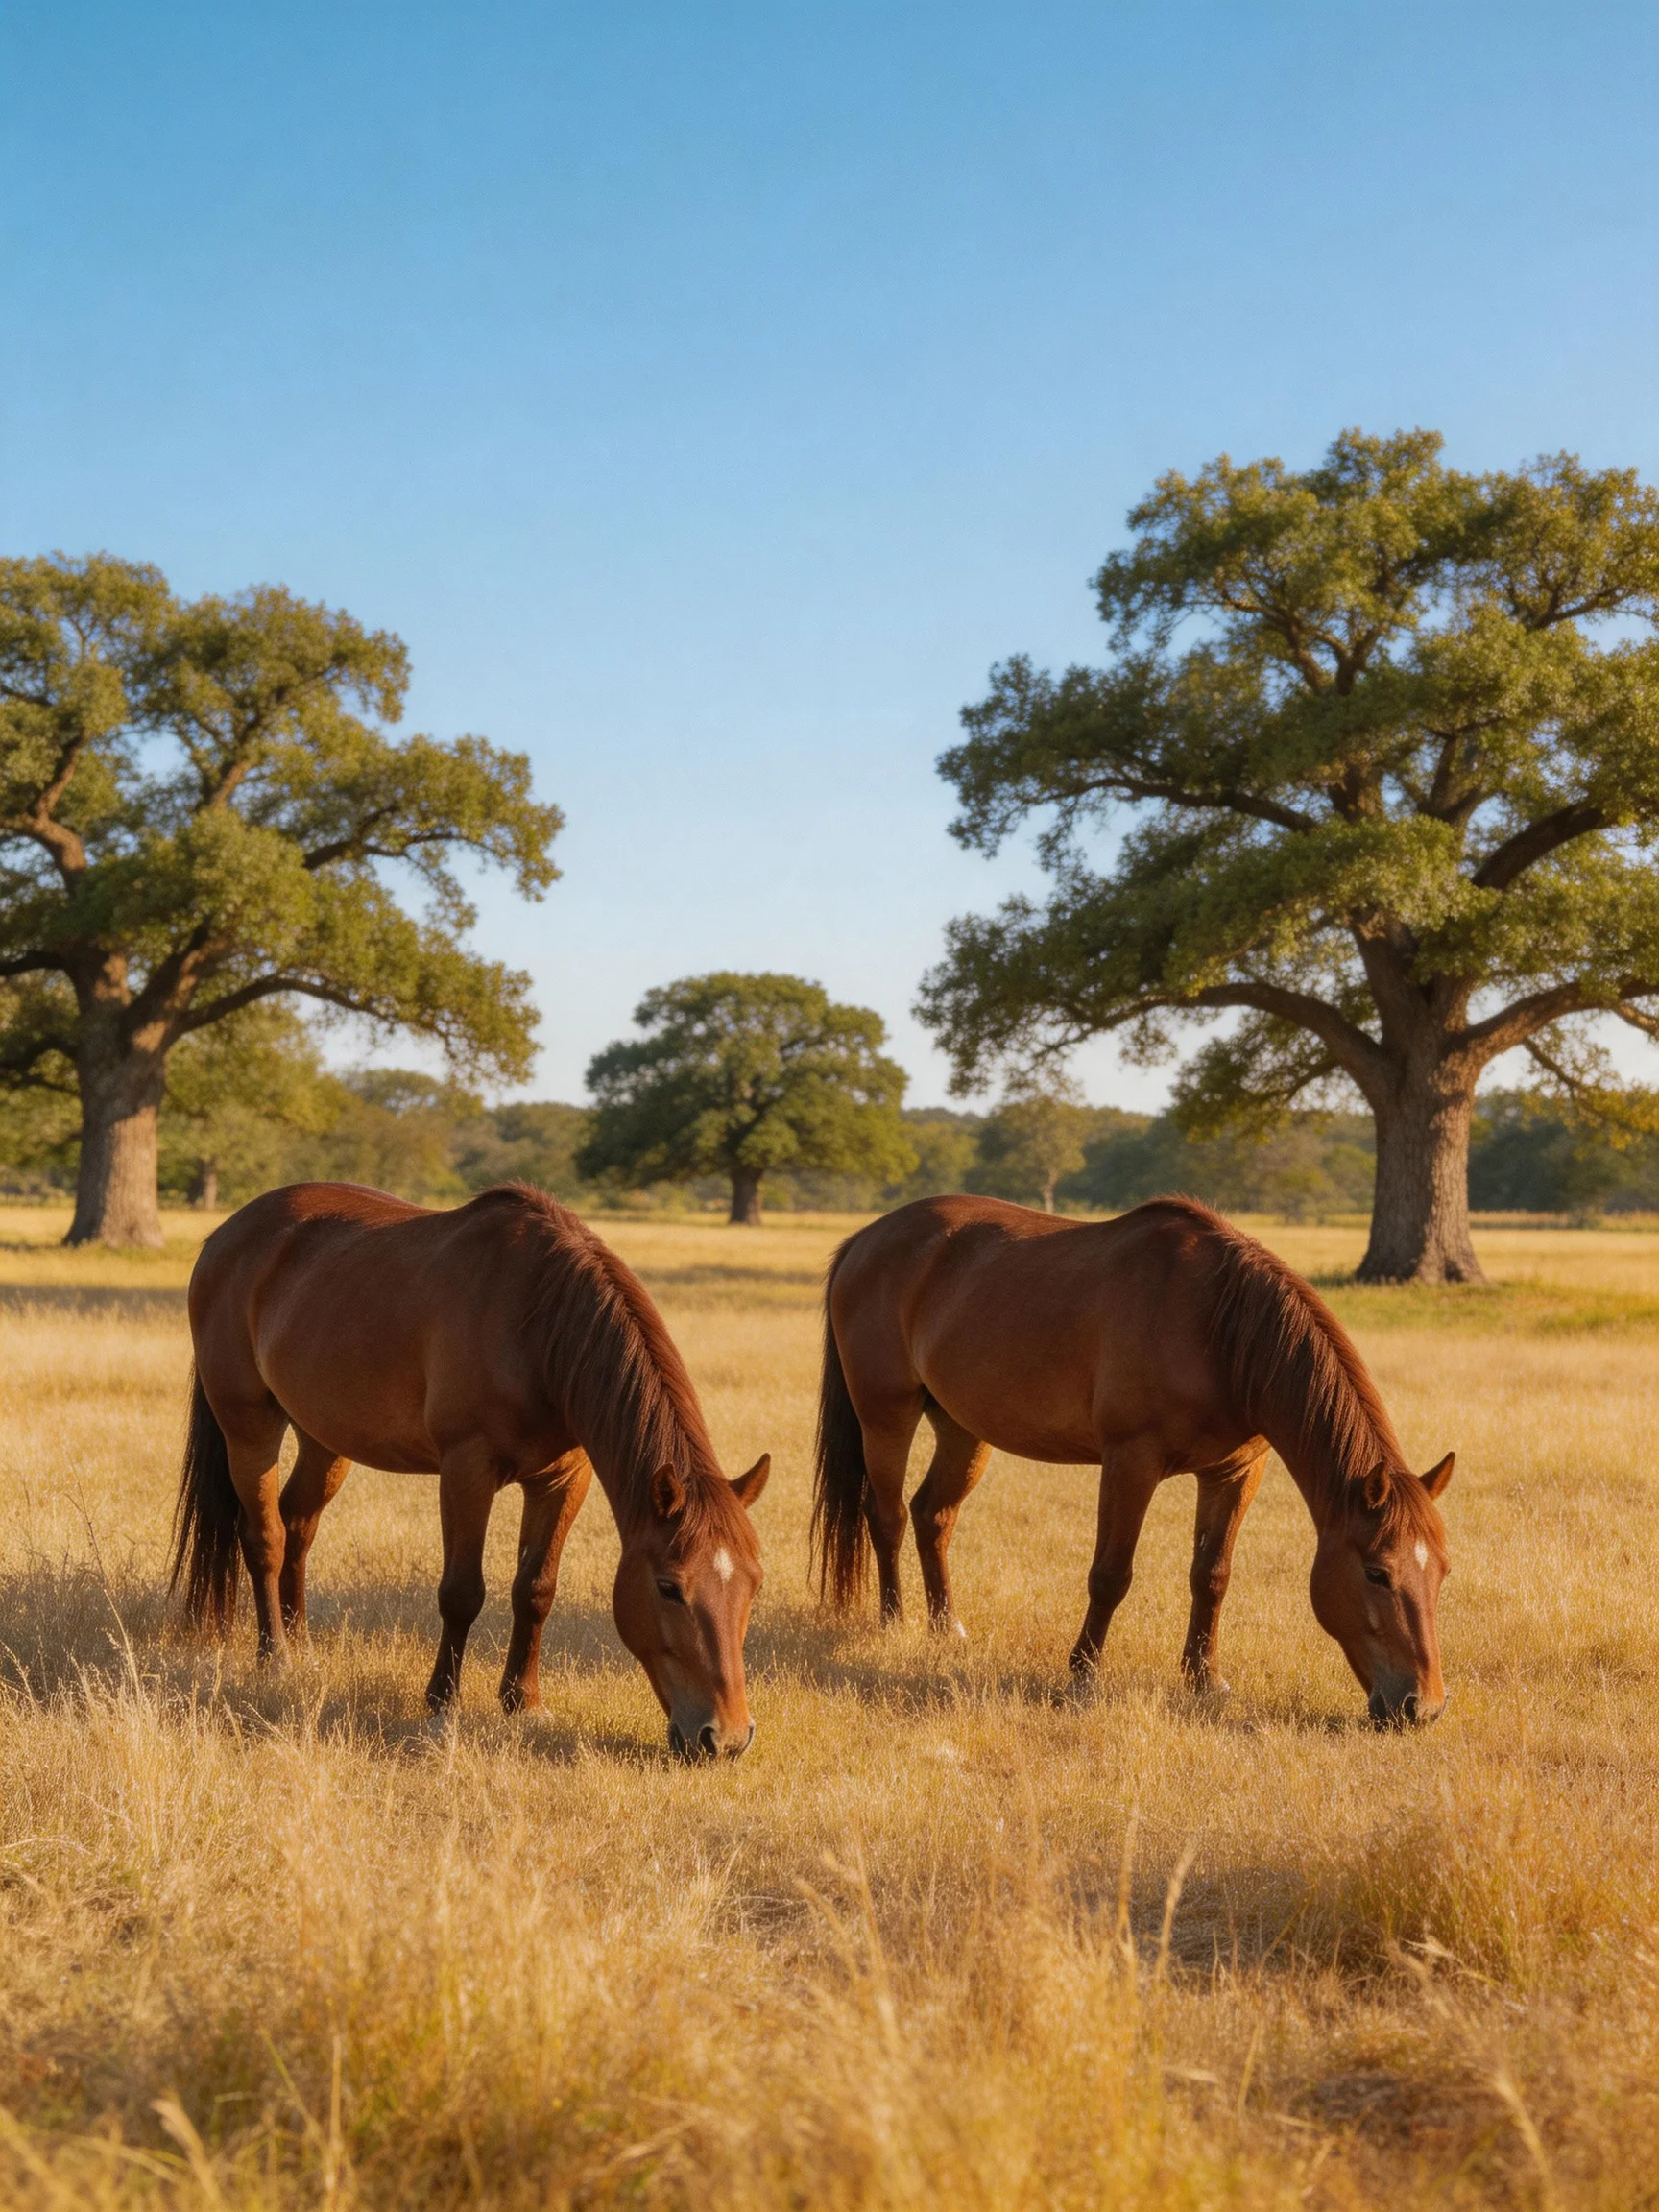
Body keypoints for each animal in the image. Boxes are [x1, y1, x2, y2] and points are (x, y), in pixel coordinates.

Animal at [171, 1181, 770, 1758]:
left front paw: (523, 1703)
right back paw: (276, 1658)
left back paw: (303, 1648)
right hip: (248, 1425)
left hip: (323, 1438)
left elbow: (536, 1590)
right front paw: (442, 1705)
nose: (725, 1738)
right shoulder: (467, 1469)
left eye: (754, 1583)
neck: (537, 1321)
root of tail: (223, 1237)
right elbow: (462, 1592)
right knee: (266, 1537)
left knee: (298, 1525)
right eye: (669, 1587)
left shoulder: (563, 1480)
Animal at [813, 1194, 1452, 1726]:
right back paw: (894, 1623)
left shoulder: (1235, 1473)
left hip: (963, 1429)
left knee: (933, 1516)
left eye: (1442, 1572)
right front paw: (1082, 1677)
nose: (1422, 1708)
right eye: (1376, 1572)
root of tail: (863, 1241)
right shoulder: (1130, 1463)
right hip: (886, 1416)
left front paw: (1204, 1680)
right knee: (889, 1516)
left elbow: (1212, 1575)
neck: (1217, 1327)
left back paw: (947, 1630)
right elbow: (1110, 1576)